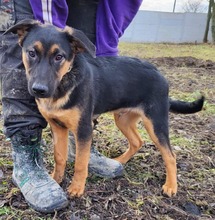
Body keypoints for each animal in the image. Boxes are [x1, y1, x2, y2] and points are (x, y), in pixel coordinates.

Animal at [4, 19, 203, 198]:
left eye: (59, 57)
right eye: (31, 53)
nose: (39, 90)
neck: (63, 85)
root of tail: (159, 73)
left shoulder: (84, 129)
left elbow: (80, 163)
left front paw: (76, 189)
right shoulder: (57, 127)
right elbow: (59, 157)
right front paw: (55, 180)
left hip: (155, 122)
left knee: (170, 155)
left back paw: (171, 186)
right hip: (123, 119)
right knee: (137, 141)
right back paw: (120, 162)